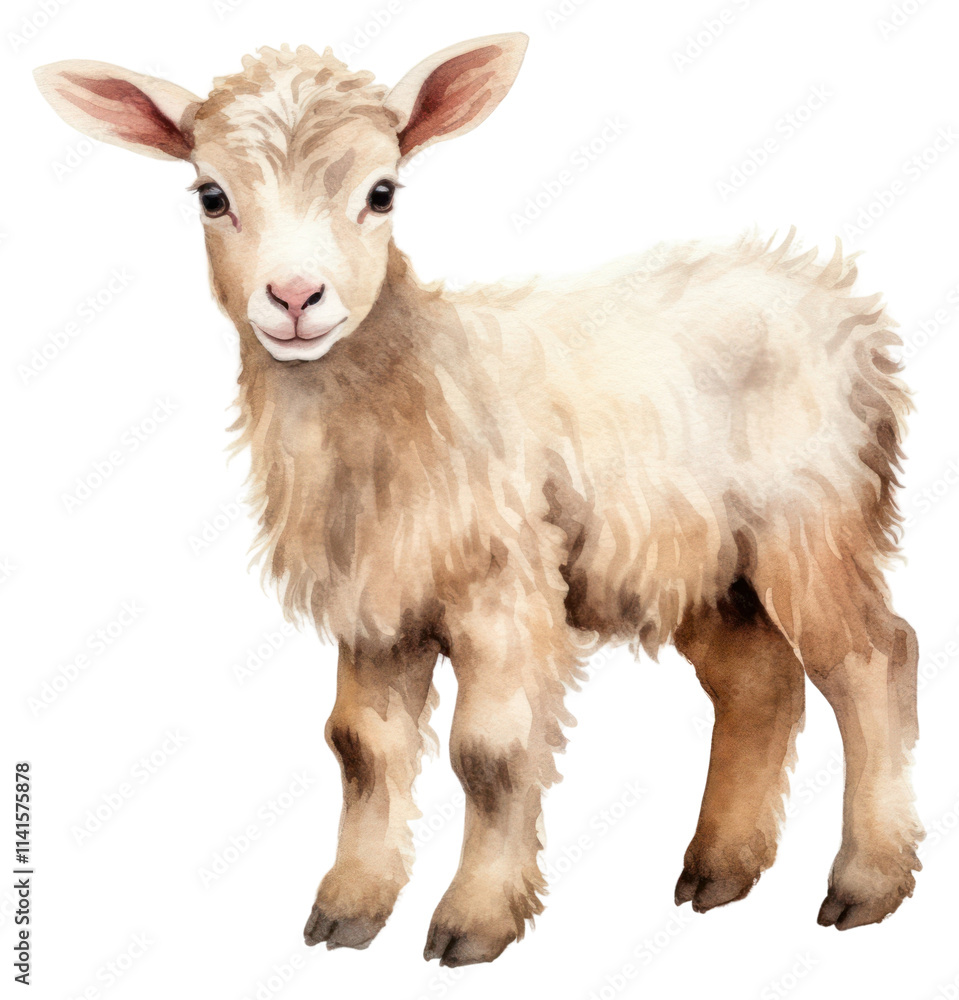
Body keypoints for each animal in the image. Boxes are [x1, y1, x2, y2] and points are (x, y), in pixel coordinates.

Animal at [35, 33, 922, 966]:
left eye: (381, 192)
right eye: (211, 195)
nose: (295, 299)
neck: (413, 379)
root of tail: (835, 298)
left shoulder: (503, 585)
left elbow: (490, 755)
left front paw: (474, 919)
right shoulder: (377, 601)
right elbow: (360, 749)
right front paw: (348, 909)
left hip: (812, 519)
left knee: (870, 659)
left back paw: (866, 882)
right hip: (700, 560)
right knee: (758, 684)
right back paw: (717, 870)